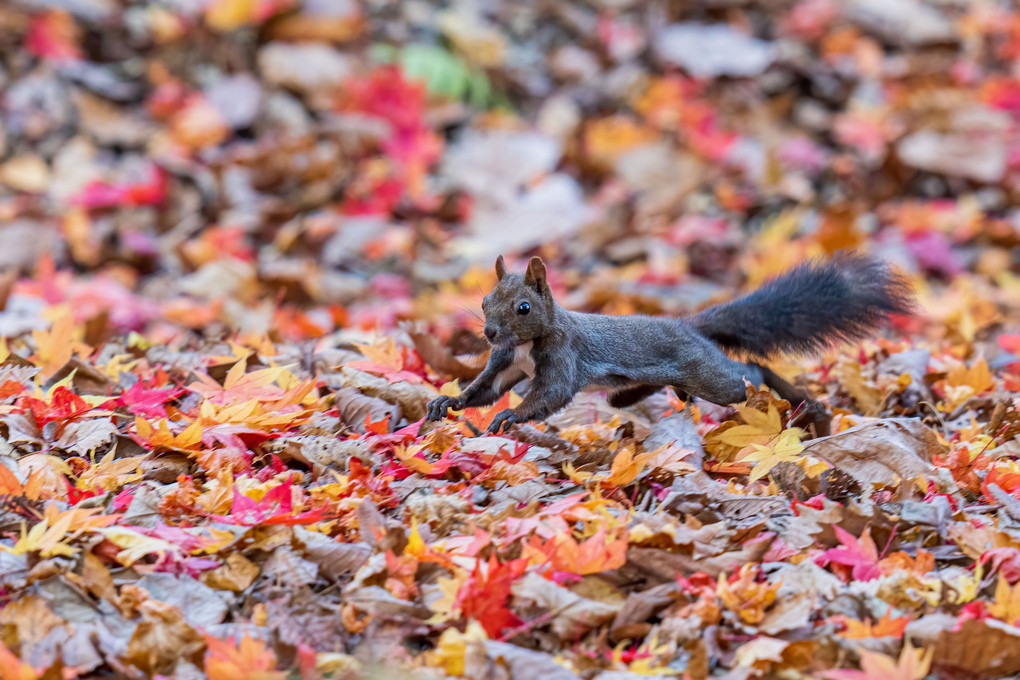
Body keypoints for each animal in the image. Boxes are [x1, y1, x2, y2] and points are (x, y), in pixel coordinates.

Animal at [426, 253, 913, 436]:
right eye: (484, 302)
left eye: (524, 308)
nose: (489, 333)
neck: (527, 345)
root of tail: (690, 326)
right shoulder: (506, 363)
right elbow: (483, 389)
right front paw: (446, 402)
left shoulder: (564, 358)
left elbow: (551, 394)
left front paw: (510, 416)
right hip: (634, 391)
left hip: (712, 375)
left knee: (748, 373)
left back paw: (805, 405)